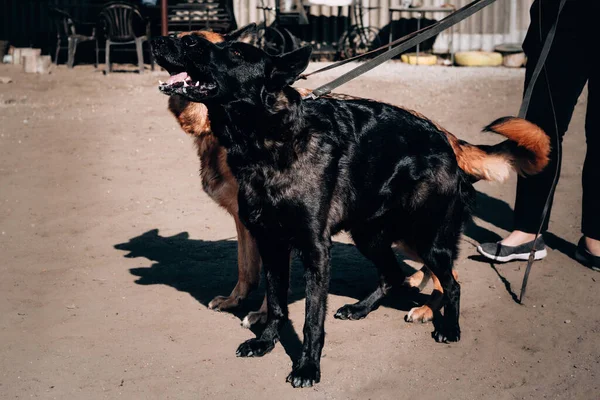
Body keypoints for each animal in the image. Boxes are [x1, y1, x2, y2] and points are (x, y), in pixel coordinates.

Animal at [155, 32, 548, 388]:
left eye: (235, 51)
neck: (267, 142)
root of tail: (445, 140)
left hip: (424, 239)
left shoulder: (314, 249)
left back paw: (445, 324)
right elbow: (276, 301)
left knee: (450, 283)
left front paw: (308, 366)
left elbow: (312, 318)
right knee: (393, 274)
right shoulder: (270, 242)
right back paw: (361, 308)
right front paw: (266, 341)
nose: (164, 40)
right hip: (369, 236)